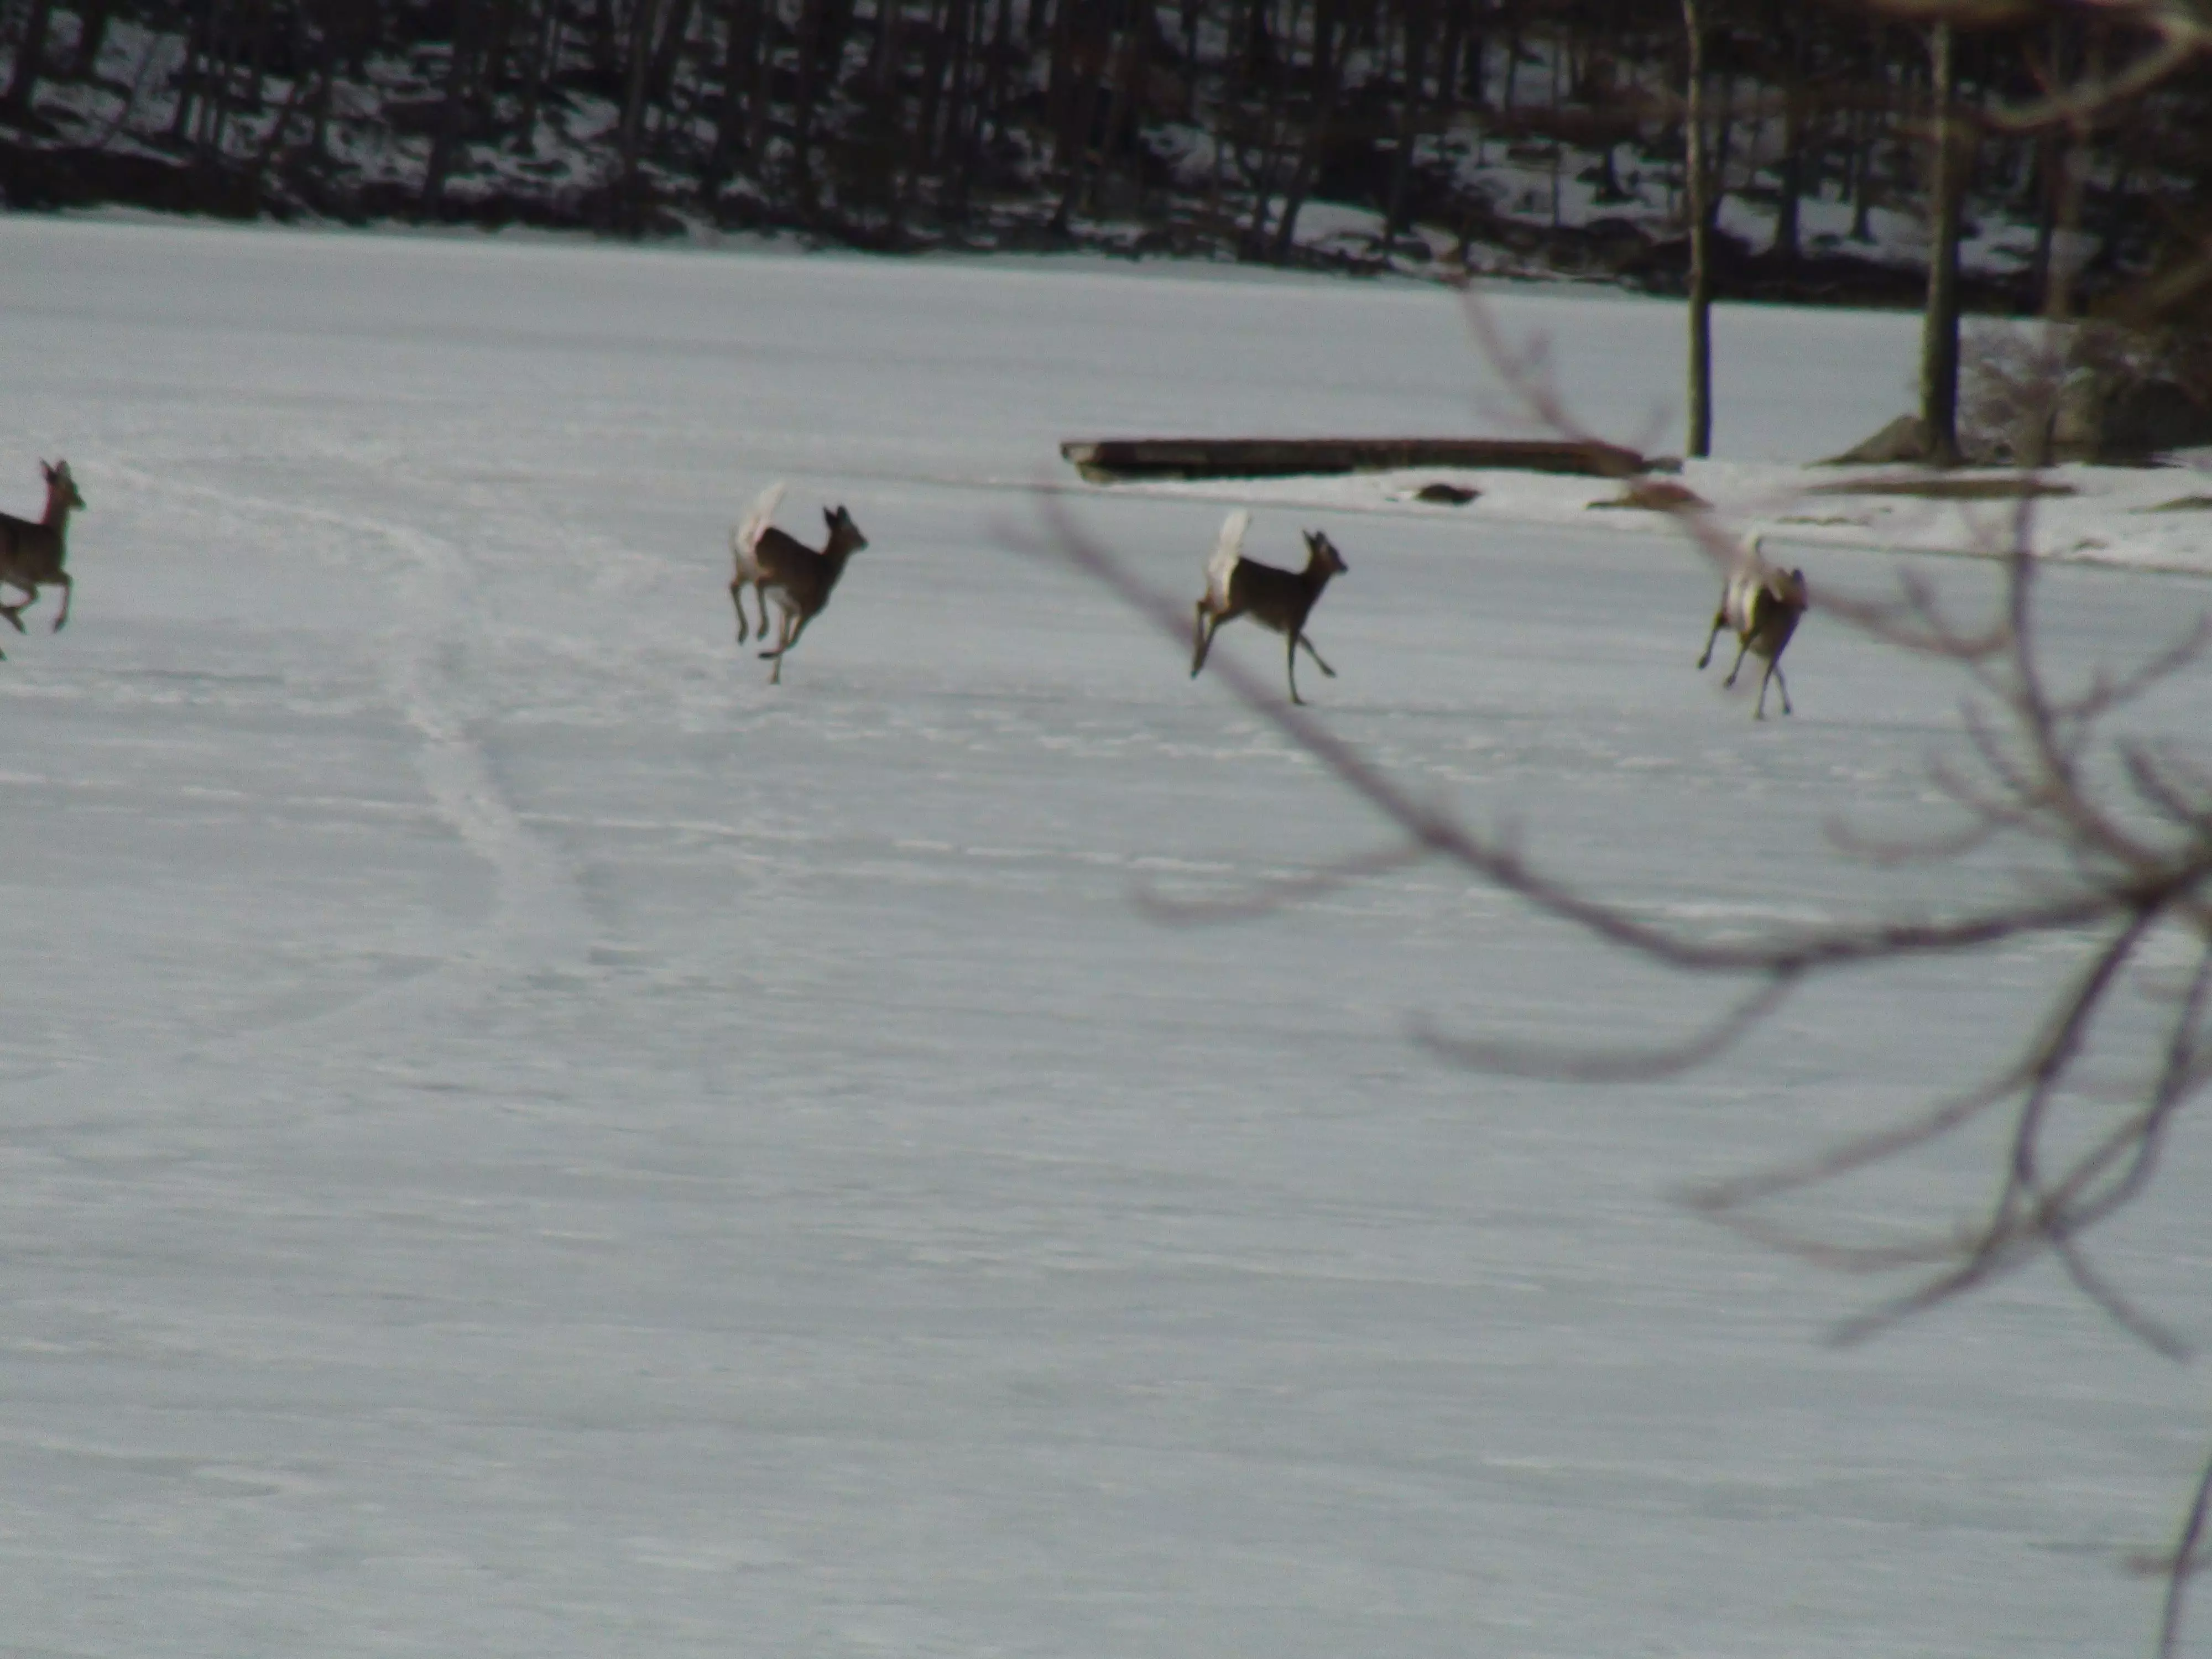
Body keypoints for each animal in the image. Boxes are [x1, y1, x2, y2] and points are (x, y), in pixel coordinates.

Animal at [0, 465, 85, 659]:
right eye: (74, 486)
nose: (82, 503)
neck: (53, 532)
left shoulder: (18, 576)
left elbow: (34, 594)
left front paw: (14, 616)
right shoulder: (44, 571)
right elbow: (68, 580)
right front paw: (58, 624)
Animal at [739, 484, 876, 686]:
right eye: (853, 529)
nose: (865, 542)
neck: (828, 570)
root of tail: (757, 538)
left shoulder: (789, 612)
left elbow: (784, 639)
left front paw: (774, 678)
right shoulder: (809, 609)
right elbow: (792, 642)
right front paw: (765, 655)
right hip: (779, 574)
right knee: (759, 584)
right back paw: (761, 630)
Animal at [1194, 511, 1345, 712]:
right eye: (1333, 552)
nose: (1345, 567)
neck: (1307, 590)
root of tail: (1226, 561)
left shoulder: (1288, 626)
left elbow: (1308, 644)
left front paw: (1329, 671)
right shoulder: (1294, 621)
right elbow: (1291, 660)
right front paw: (1297, 698)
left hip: (1216, 594)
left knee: (1200, 606)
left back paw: (1195, 663)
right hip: (1239, 603)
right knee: (1215, 618)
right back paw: (1199, 664)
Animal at [1699, 529, 1805, 717]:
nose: (1803, 607)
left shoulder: (1771, 649)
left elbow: (1773, 675)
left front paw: (1777, 709)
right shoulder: (1758, 638)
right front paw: (1730, 681)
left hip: (1739, 622)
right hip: (1733, 616)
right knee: (1719, 623)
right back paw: (1705, 663)